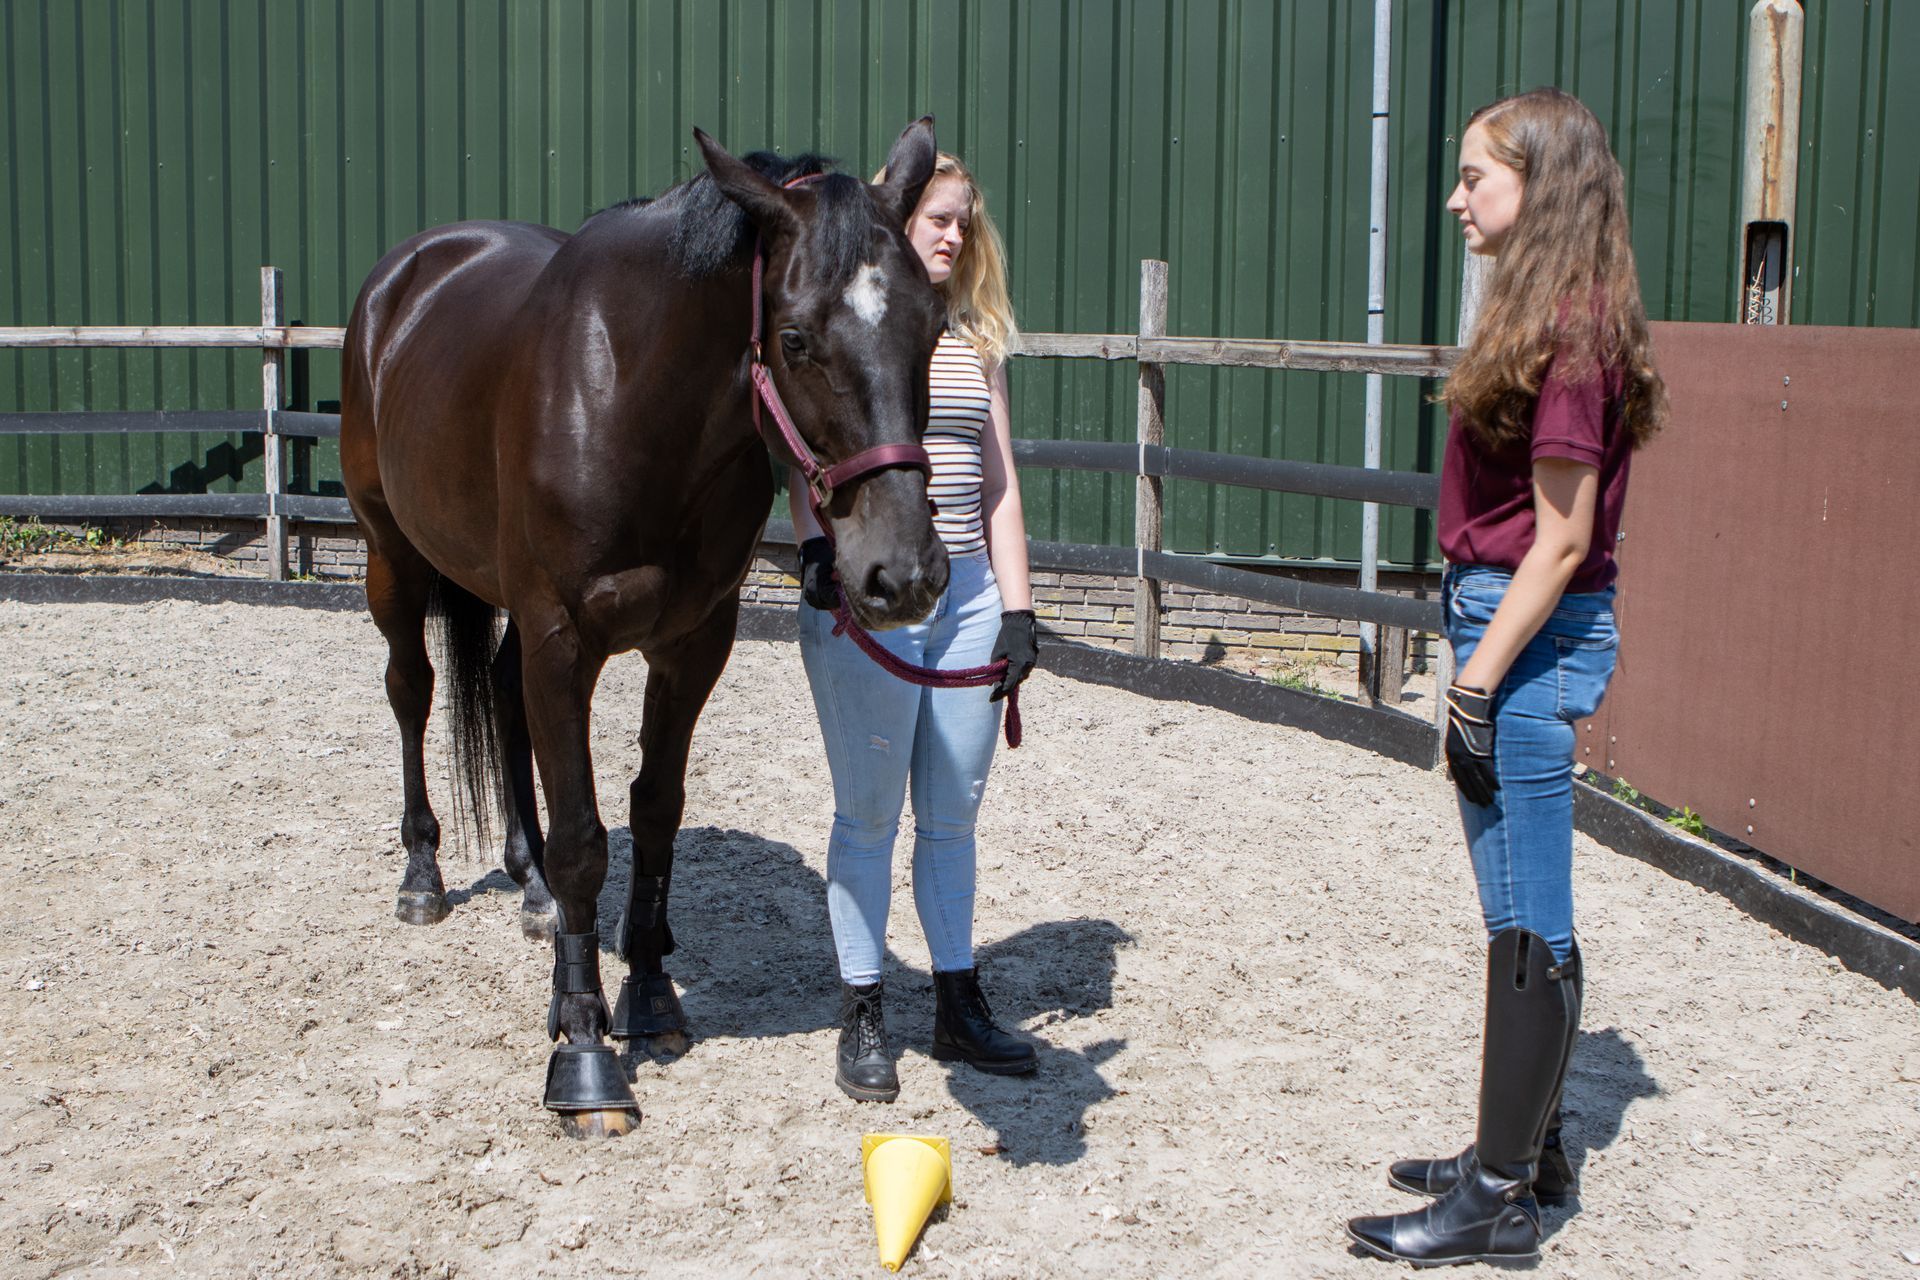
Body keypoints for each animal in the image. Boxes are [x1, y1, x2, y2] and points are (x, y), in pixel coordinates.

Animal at [340, 118, 952, 1138]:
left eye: (935, 325)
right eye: (794, 337)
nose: (902, 574)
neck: (632, 402)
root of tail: (405, 278)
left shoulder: (693, 642)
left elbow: (653, 811)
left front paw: (650, 996)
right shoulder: (562, 639)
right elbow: (586, 839)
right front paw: (585, 1055)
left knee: (499, 698)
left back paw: (530, 887)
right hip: (391, 555)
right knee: (412, 694)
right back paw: (423, 873)